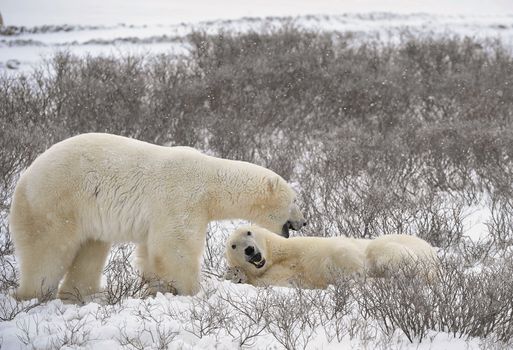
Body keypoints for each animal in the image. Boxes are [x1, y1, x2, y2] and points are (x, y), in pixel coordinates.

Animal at [10, 133, 306, 300]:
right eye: (294, 200)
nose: (303, 221)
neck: (210, 181)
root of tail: (24, 178)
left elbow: (150, 252)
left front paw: (155, 288)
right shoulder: (181, 198)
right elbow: (175, 247)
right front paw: (192, 291)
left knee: (90, 250)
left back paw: (85, 295)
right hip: (56, 202)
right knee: (48, 252)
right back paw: (33, 294)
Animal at [226, 226, 438, 288]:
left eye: (248, 232)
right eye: (233, 245)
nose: (250, 250)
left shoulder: (303, 246)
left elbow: (339, 250)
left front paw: (356, 275)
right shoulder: (274, 275)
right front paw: (235, 274)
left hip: (405, 246)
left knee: (381, 250)